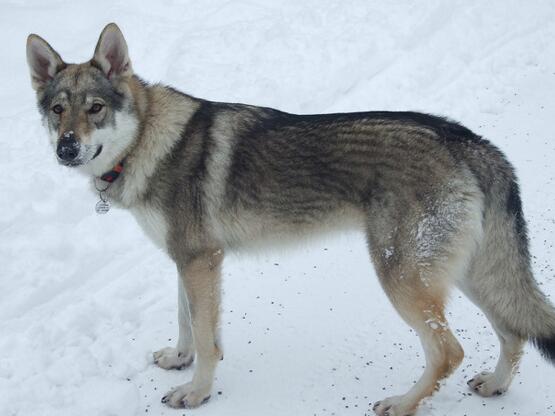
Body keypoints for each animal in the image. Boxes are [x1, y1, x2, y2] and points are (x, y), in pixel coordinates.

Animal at [26, 23, 555, 415]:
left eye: (96, 109)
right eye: (58, 110)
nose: (66, 149)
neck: (149, 143)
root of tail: (468, 140)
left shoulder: (199, 260)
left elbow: (205, 336)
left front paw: (196, 393)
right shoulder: (188, 259)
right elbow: (189, 324)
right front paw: (179, 360)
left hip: (403, 277)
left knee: (449, 351)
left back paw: (402, 403)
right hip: (466, 274)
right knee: (513, 332)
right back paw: (495, 386)